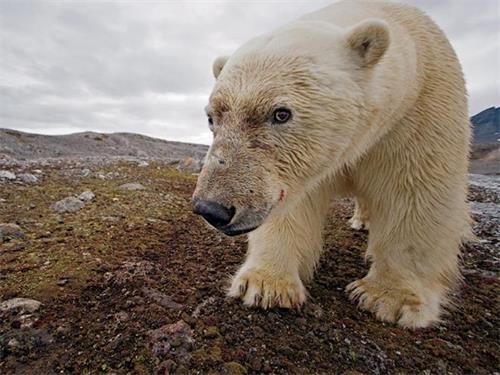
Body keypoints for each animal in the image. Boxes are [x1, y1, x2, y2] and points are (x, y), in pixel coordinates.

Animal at [191, 0, 468, 328]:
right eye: (212, 117)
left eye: (281, 113)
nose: (212, 209)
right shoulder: (303, 167)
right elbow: (295, 205)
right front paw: (266, 285)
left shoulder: (418, 113)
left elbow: (415, 193)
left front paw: (390, 299)